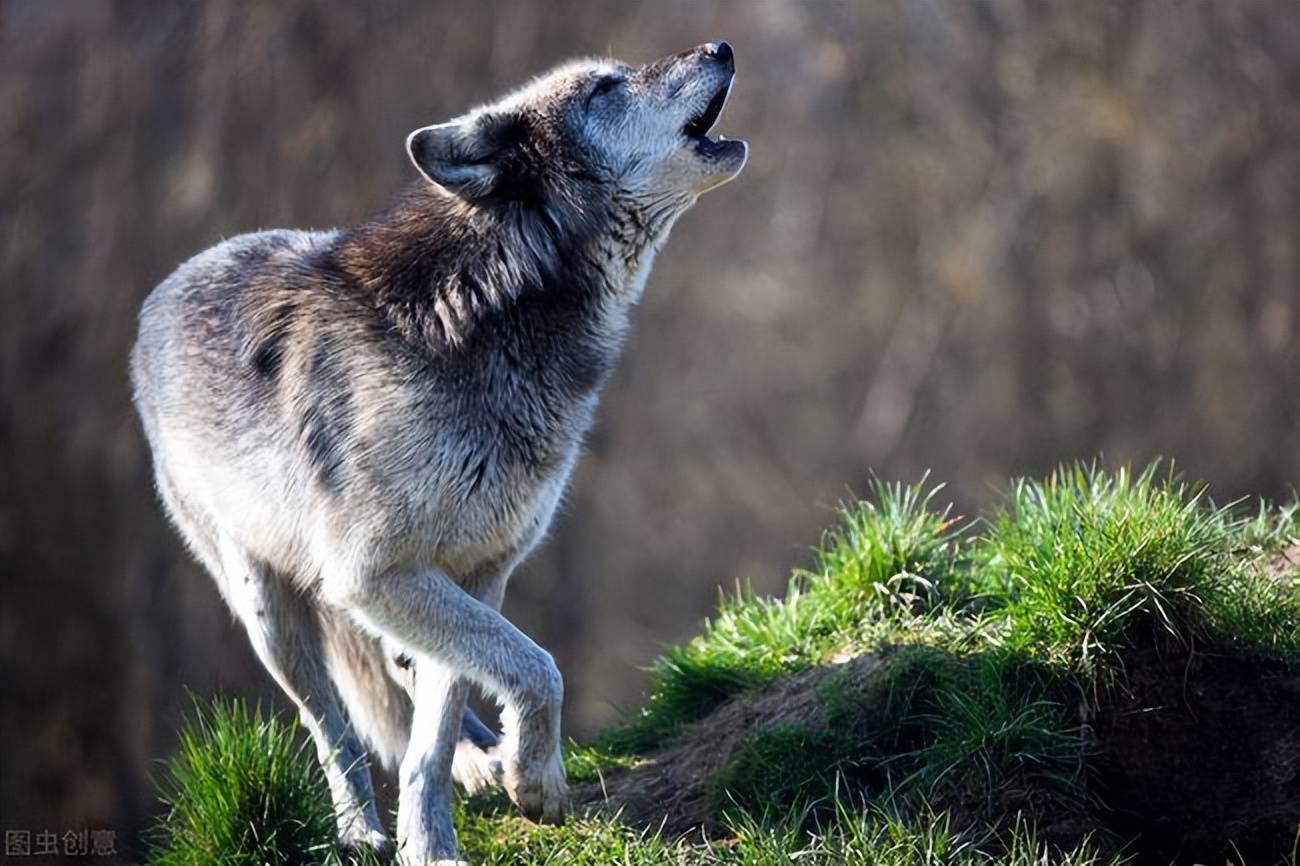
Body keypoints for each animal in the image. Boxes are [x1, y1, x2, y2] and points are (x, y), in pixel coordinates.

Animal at [130, 38, 748, 858]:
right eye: (605, 88)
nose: (721, 46)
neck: (490, 313)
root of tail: (160, 295)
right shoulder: (372, 574)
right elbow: (539, 668)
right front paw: (532, 782)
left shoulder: (476, 570)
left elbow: (443, 720)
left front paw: (438, 839)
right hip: (270, 613)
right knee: (332, 727)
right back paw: (362, 832)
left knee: (404, 675)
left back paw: (472, 765)